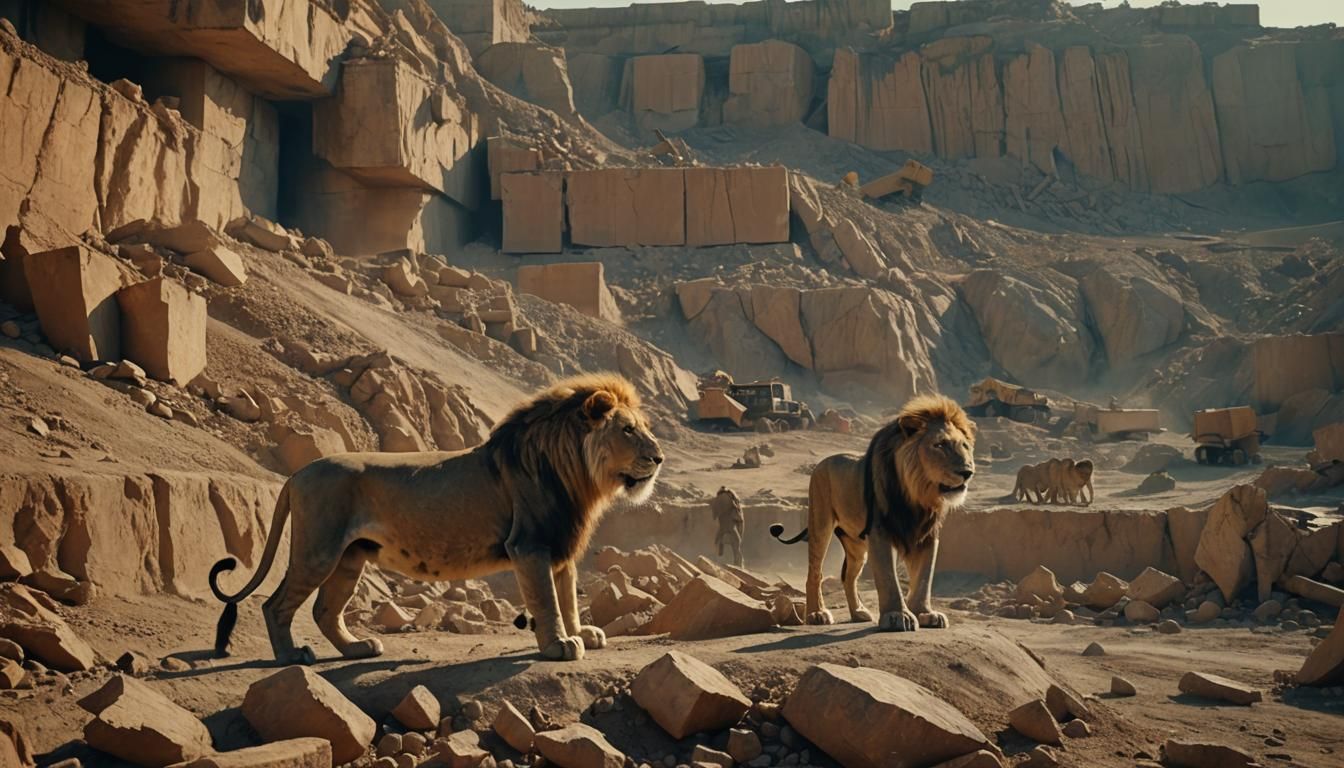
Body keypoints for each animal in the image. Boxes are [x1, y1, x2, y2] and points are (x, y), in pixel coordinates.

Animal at [208, 373, 663, 665]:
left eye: (643, 426)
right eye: (627, 430)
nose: (659, 457)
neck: (578, 476)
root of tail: (297, 474)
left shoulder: (559, 545)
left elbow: (567, 596)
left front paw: (581, 633)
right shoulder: (530, 545)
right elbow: (547, 600)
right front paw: (559, 646)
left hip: (351, 555)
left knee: (325, 610)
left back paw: (357, 648)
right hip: (318, 549)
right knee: (276, 605)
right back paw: (290, 656)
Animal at [769, 395, 976, 632]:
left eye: (965, 446)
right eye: (939, 445)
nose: (967, 472)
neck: (917, 495)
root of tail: (823, 462)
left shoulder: (927, 534)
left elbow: (925, 577)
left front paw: (925, 614)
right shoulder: (880, 531)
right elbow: (888, 577)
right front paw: (897, 616)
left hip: (856, 544)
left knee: (848, 575)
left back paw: (859, 613)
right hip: (820, 522)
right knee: (815, 572)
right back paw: (816, 614)